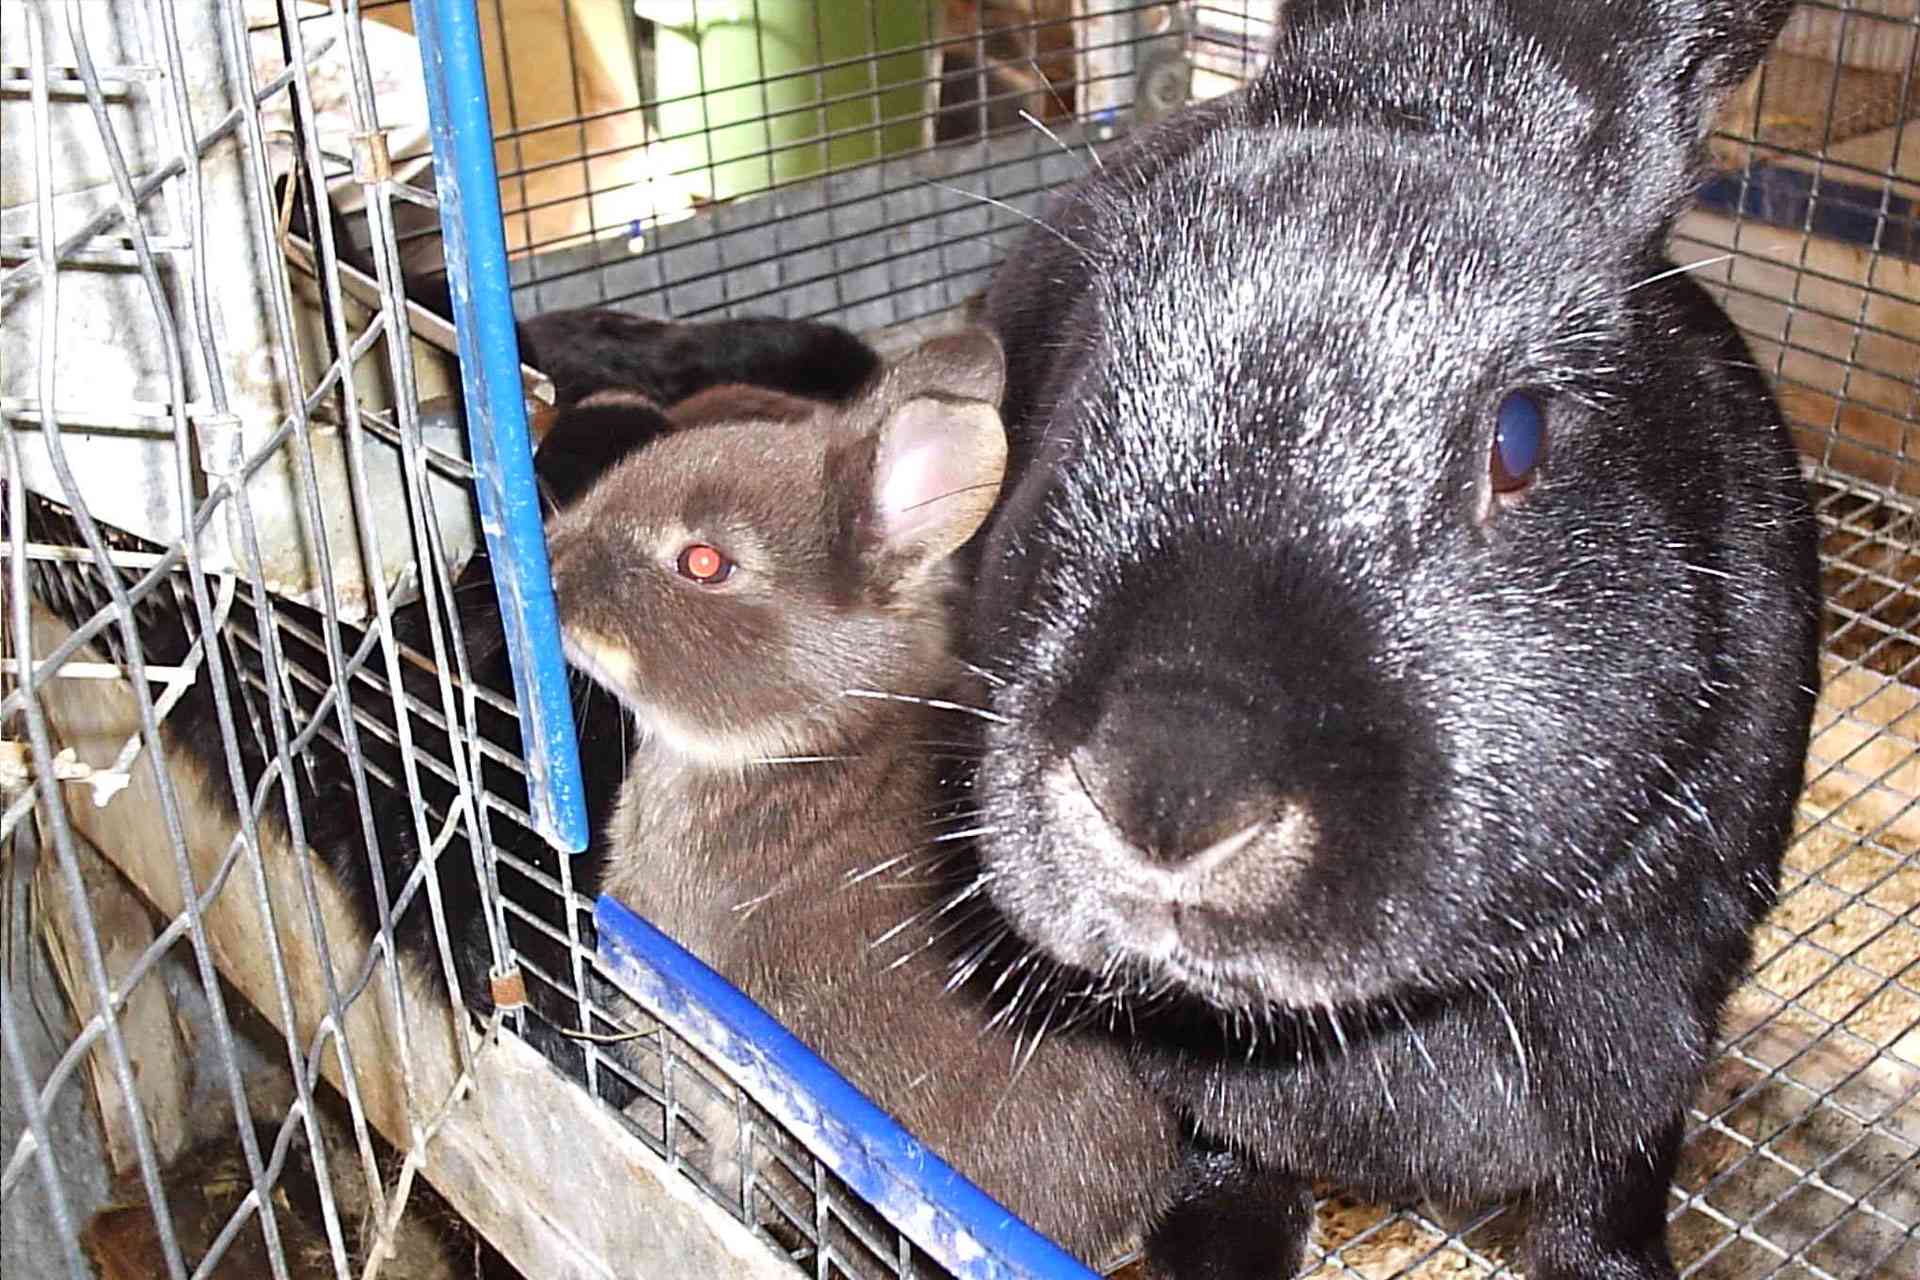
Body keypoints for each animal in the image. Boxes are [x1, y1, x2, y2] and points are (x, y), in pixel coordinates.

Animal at [964, 2, 1821, 1277]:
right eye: (1086, 377)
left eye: (1520, 437)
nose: (1164, 791)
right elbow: (1220, 1136)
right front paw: (1218, 1251)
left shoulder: (1668, 996)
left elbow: (1616, 1168)